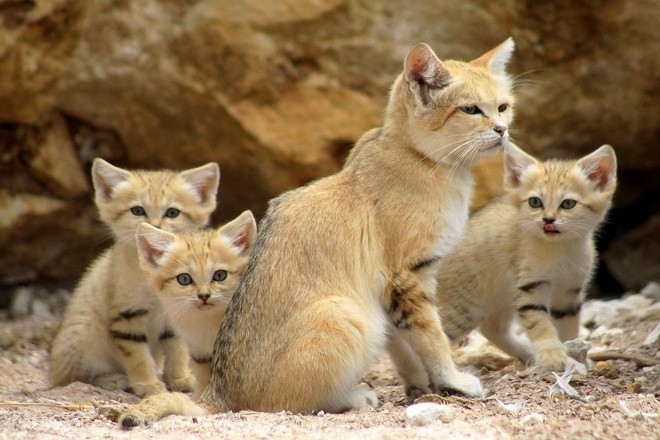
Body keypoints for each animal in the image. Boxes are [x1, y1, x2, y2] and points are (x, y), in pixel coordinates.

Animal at [49, 157, 219, 396]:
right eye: (137, 210)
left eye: (172, 212)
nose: (154, 226)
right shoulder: (127, 314)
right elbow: (138, 355)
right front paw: (147, 384)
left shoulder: (176, 314)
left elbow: (178, 349)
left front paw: (179, 378)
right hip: (85, 334)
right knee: (74, 376)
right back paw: (113, 379)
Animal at [134, 211, 255, 398]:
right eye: (184, 279)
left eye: (220, 275)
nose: (204, 295)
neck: (206, 324)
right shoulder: (201, 353)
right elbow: (205, 383)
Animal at [436, 144, 616, 372]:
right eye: (535, 202)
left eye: (568, 204)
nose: (548, 219)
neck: (560, 249)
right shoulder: (530, 288)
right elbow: (541, 324)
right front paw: (552, 354)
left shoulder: (569, 291)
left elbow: (568, 327)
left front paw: (573, 352)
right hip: (463, 308)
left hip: (501, 299)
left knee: (491, 328)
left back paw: (526, 353)